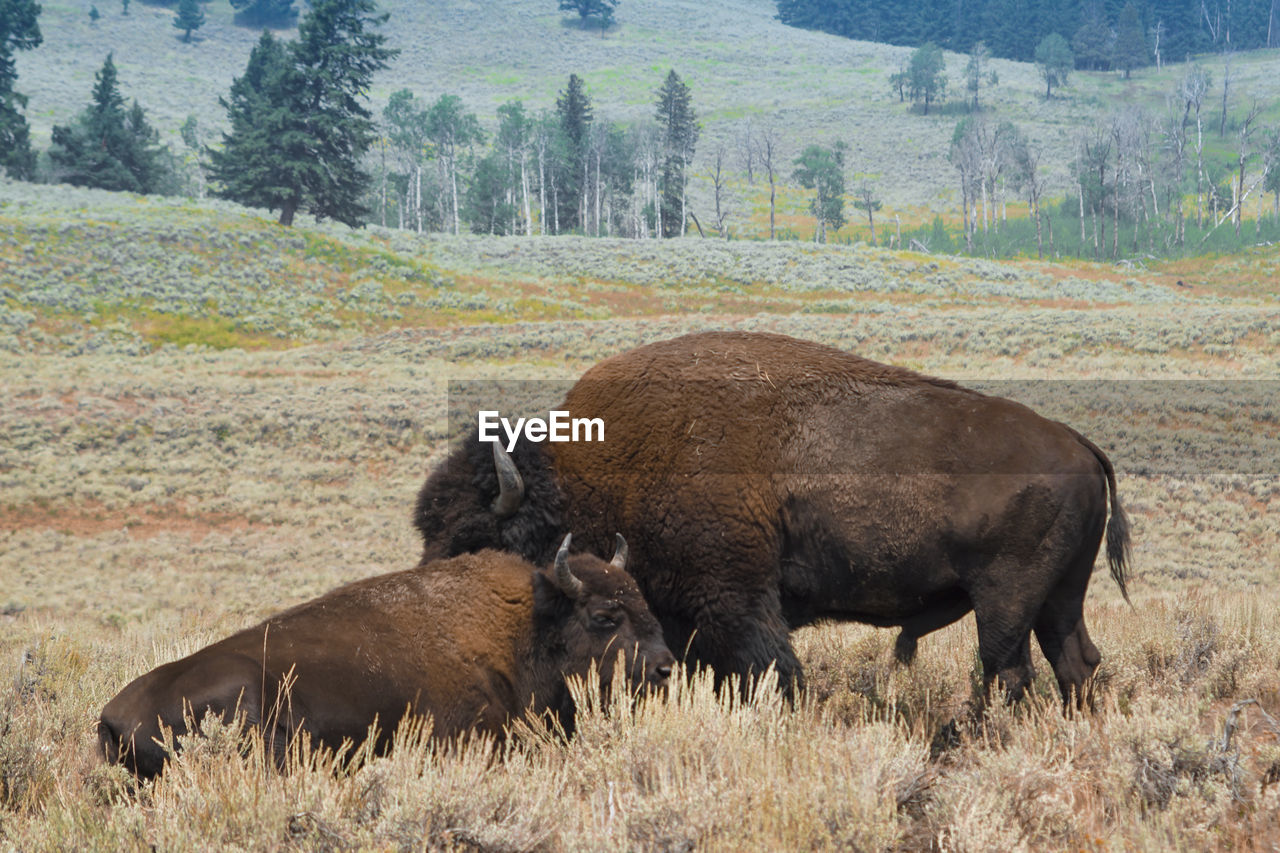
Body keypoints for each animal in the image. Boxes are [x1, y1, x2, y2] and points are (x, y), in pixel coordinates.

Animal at [417, 330, 1131, 701]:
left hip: (1005, 599)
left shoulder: (734, 602)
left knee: (1006, 668)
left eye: (477, 539)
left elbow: (772, 672)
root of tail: (1079, 443)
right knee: (1073, 662)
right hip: (1058, 597)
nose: (442, 609)